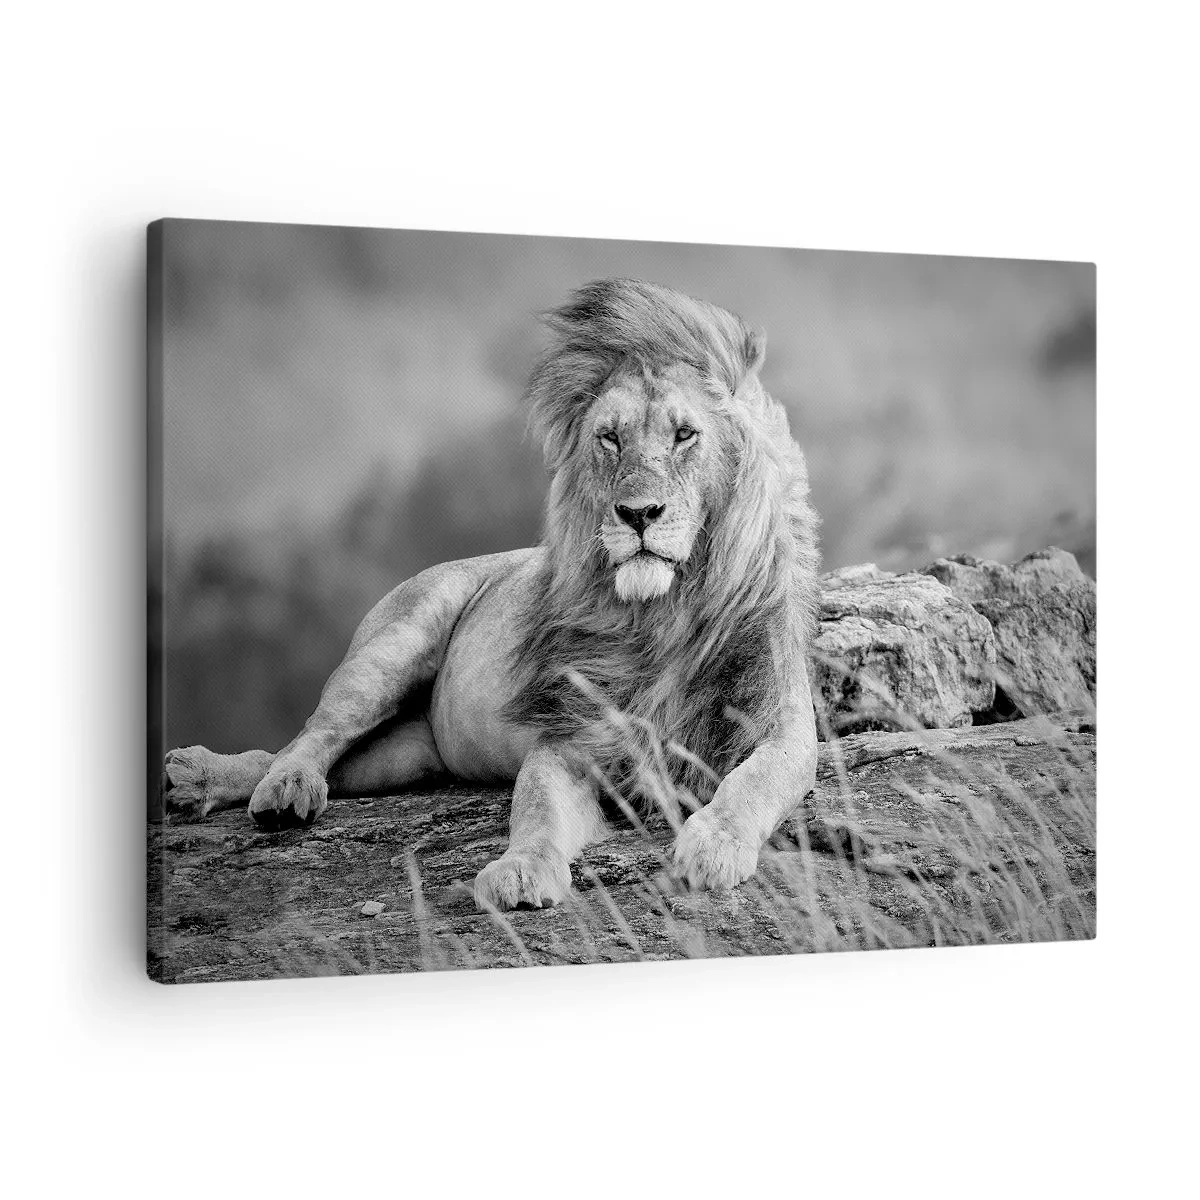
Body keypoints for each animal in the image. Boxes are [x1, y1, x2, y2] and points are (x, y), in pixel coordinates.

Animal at [163, 278, 821, 910]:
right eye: (609, 439)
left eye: (685, 434)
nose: (637, 514)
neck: (664, 616)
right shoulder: (570, 737)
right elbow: (535, 809)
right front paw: (521, 871)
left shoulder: (783, 727)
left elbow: (753, 783)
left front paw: (713, 848)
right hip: (392, 648)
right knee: (309, 736)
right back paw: (267, 787)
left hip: (406, 756)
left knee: (308, 759)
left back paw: (205, 781)